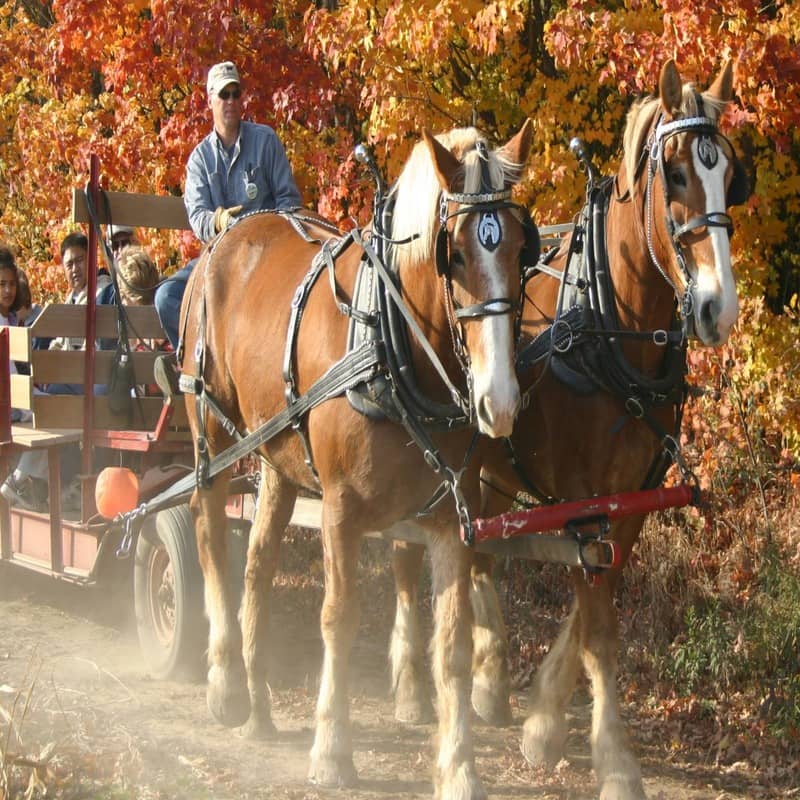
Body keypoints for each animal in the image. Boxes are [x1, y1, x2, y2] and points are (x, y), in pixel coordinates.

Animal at [178, 122, 536, 796]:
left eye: (519, 250)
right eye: (452, 254)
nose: (499, 401)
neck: (391, 347)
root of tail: (231, 234)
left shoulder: (448, 517)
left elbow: (450, 641)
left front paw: (458, 768)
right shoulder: (341, 510)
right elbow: (338, 618)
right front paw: (331, 748)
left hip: (276, 459)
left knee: (258, 564)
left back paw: (259, 702)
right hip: (212, 435)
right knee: (210, 536)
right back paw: (225, 682)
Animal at [390, 57, 748, 800]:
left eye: (730, 173)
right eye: (675, 174)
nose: (717, 308)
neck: (613, 330)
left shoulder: (630, 499)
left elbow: (592, 611)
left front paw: (544, 720)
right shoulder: (585, 497)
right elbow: (599, 625)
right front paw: (613, 759)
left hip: (491, 469)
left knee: (480, 558)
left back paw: (490, 681)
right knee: (411, 551)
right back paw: (411, 685)